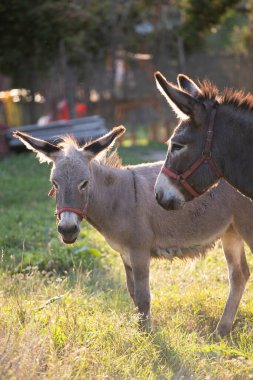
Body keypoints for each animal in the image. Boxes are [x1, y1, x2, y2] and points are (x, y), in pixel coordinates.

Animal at [14, 127, 253, 336]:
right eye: (54, 183)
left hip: (245, 226)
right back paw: (222, 331)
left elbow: (143, 296)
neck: (117, 196)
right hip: (231, 231)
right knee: (239, 274)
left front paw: (147, 335)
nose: (67, 229)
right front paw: (139, 329)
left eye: (84, 183)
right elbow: (133, 294)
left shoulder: (139, 251)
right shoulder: (124, 253)